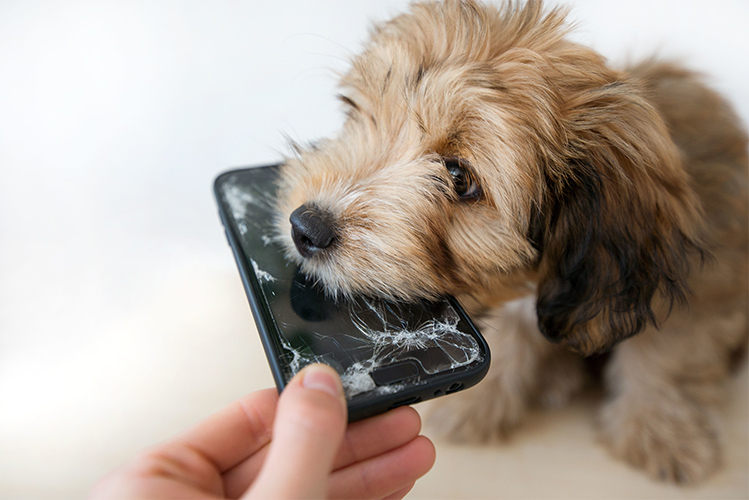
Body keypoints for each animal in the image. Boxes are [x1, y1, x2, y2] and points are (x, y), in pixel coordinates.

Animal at [274, 0, 748, 484]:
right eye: (359, 112)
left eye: (459, 176)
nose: (306, 226)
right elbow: (507, 340)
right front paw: (477, 402)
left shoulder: (701, 294)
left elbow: (661, 359)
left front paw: (659, 431)